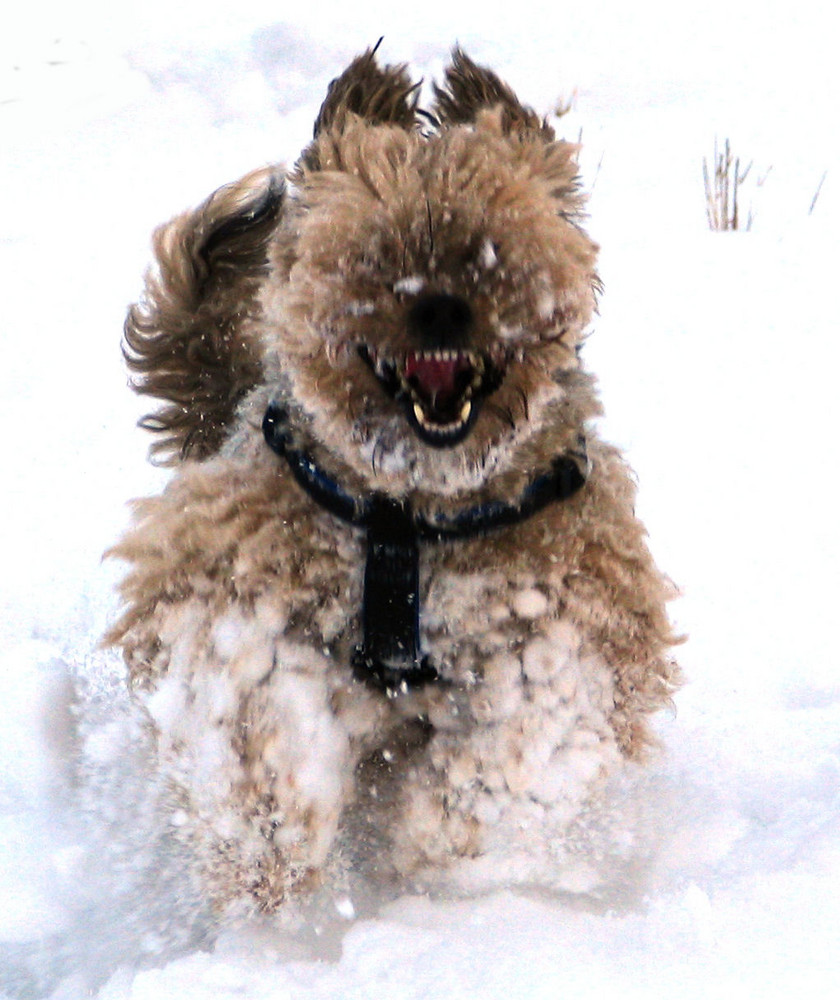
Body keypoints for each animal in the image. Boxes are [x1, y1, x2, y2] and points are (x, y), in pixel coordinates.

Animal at [106, 48, 684, 916]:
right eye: (378, 253)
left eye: (491, 249)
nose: (440, 309)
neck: (412, 510)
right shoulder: (225, 559)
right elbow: (241, 688)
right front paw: (274, 832)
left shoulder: (576, 597)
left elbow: (534, 726)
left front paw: (439, 849)